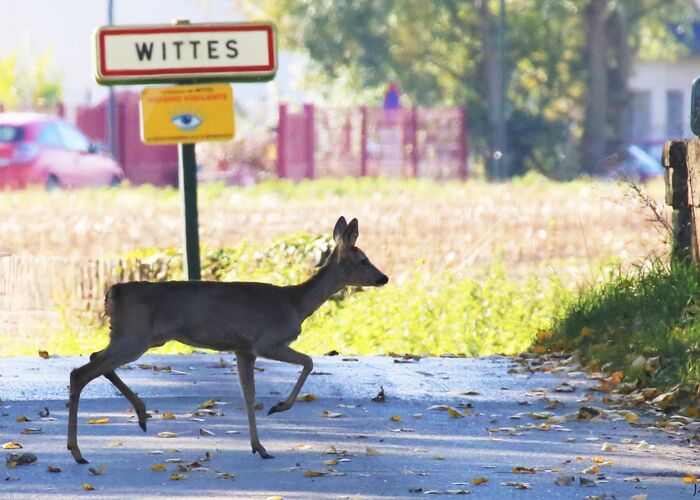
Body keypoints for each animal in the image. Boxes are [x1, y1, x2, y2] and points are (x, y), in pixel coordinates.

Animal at [67, 217, 386, 462]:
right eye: (363, 259)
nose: (383, 278)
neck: (294, 304)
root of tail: (113, 293)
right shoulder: (266, 341)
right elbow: (308, 362)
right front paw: (278, 407)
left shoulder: (243, 349)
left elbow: (249, 395)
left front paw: (259, 447)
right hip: (134, 337)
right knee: (80, 372)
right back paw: (78, 451)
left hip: (130, 336)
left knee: (95, 359)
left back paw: (142, 414)